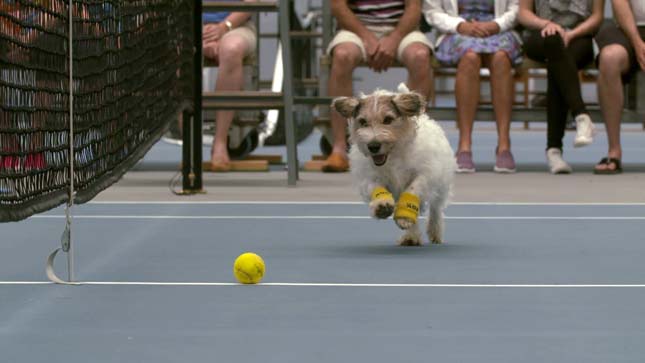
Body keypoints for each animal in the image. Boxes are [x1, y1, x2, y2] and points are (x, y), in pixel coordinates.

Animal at [332, 84, 458, 246]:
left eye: (388, 119)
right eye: (363, 122)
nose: (373, 146)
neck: (393, 156)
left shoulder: (426, 174)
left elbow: (412, 189)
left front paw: (404, 215)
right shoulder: (368, 177)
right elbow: (376, 187)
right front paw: (382, 205)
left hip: (441, 186)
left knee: (436, 209)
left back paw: (434, 231)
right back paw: (411, 236)